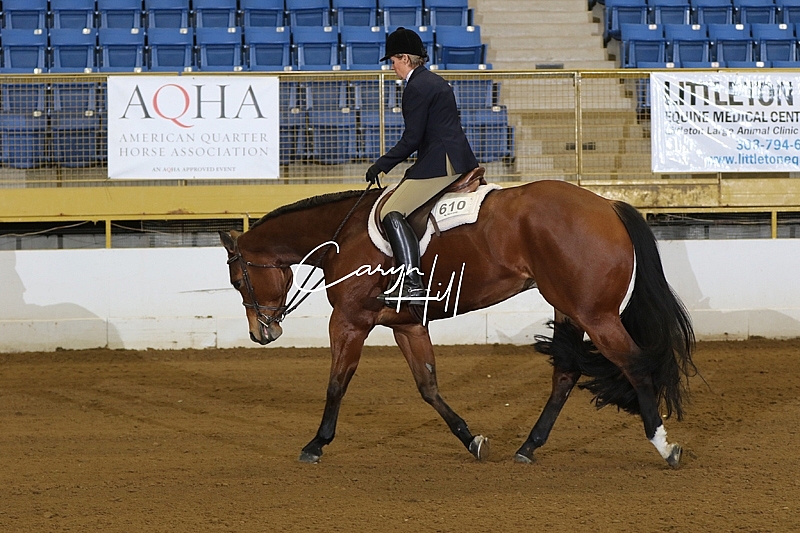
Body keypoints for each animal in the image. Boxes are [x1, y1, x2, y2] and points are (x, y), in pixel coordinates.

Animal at [219, 177, 695, 467]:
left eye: (237, 280)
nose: (262, 333)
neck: (344, 235)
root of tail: (609, 205)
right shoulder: (406, 326)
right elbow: (428, 386)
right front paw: (471, 439)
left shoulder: (350, 321)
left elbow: (337, 382)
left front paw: (316, 444)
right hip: (570, 308)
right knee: (565, 372)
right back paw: (529, 446)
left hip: (594, 314)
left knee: (635, 366)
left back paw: (664, 445)